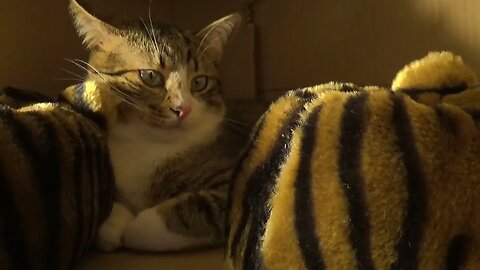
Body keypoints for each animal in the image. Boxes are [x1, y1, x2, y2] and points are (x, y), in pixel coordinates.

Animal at [67, 0, 244, 251]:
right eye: (150, 76)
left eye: (199, 82)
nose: (183, 109)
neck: (146, 143)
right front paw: (113, 221)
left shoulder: (232, 180)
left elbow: (193, 208)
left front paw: (133, 227)